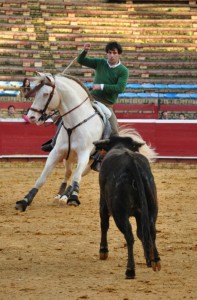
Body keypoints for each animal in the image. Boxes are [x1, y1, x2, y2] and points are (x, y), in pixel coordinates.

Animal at [15, 73, 157, 212]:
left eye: (45, 94)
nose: (32, 117)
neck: (74, 123)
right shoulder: (56, 153)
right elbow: (42, 178)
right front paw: (25, 200)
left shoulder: (84, 154)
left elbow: (76, 178)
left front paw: (73, 198)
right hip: (69, 159)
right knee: (68, 174)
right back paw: (60, 195)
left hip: (90, 164)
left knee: (76, 176)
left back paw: (66, 196)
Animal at [94, 137, 161, 280]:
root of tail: (131, 162)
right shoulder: (141, 214)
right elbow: (142, 233)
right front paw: (148, 259)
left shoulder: (103, 203)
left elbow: (104, 225)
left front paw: (103, 251)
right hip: (152, 207)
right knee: (151, 231)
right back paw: (156, 261)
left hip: (119, 213)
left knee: (129, 236)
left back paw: (130, 270)